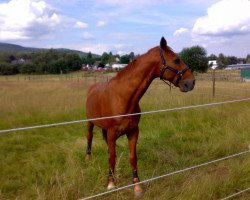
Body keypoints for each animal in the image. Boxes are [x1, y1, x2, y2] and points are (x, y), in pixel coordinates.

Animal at [85, 36, 194, 196]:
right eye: (176, 60)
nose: (191, 82)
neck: (122, 97)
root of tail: (92, 88)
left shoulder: (133, 131)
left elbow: (132, 157)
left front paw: (136, 185)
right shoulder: (112, 133)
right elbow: (111, 158)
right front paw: (111, 184)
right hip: (89, 123)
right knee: (89, 139)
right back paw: (88, 159)